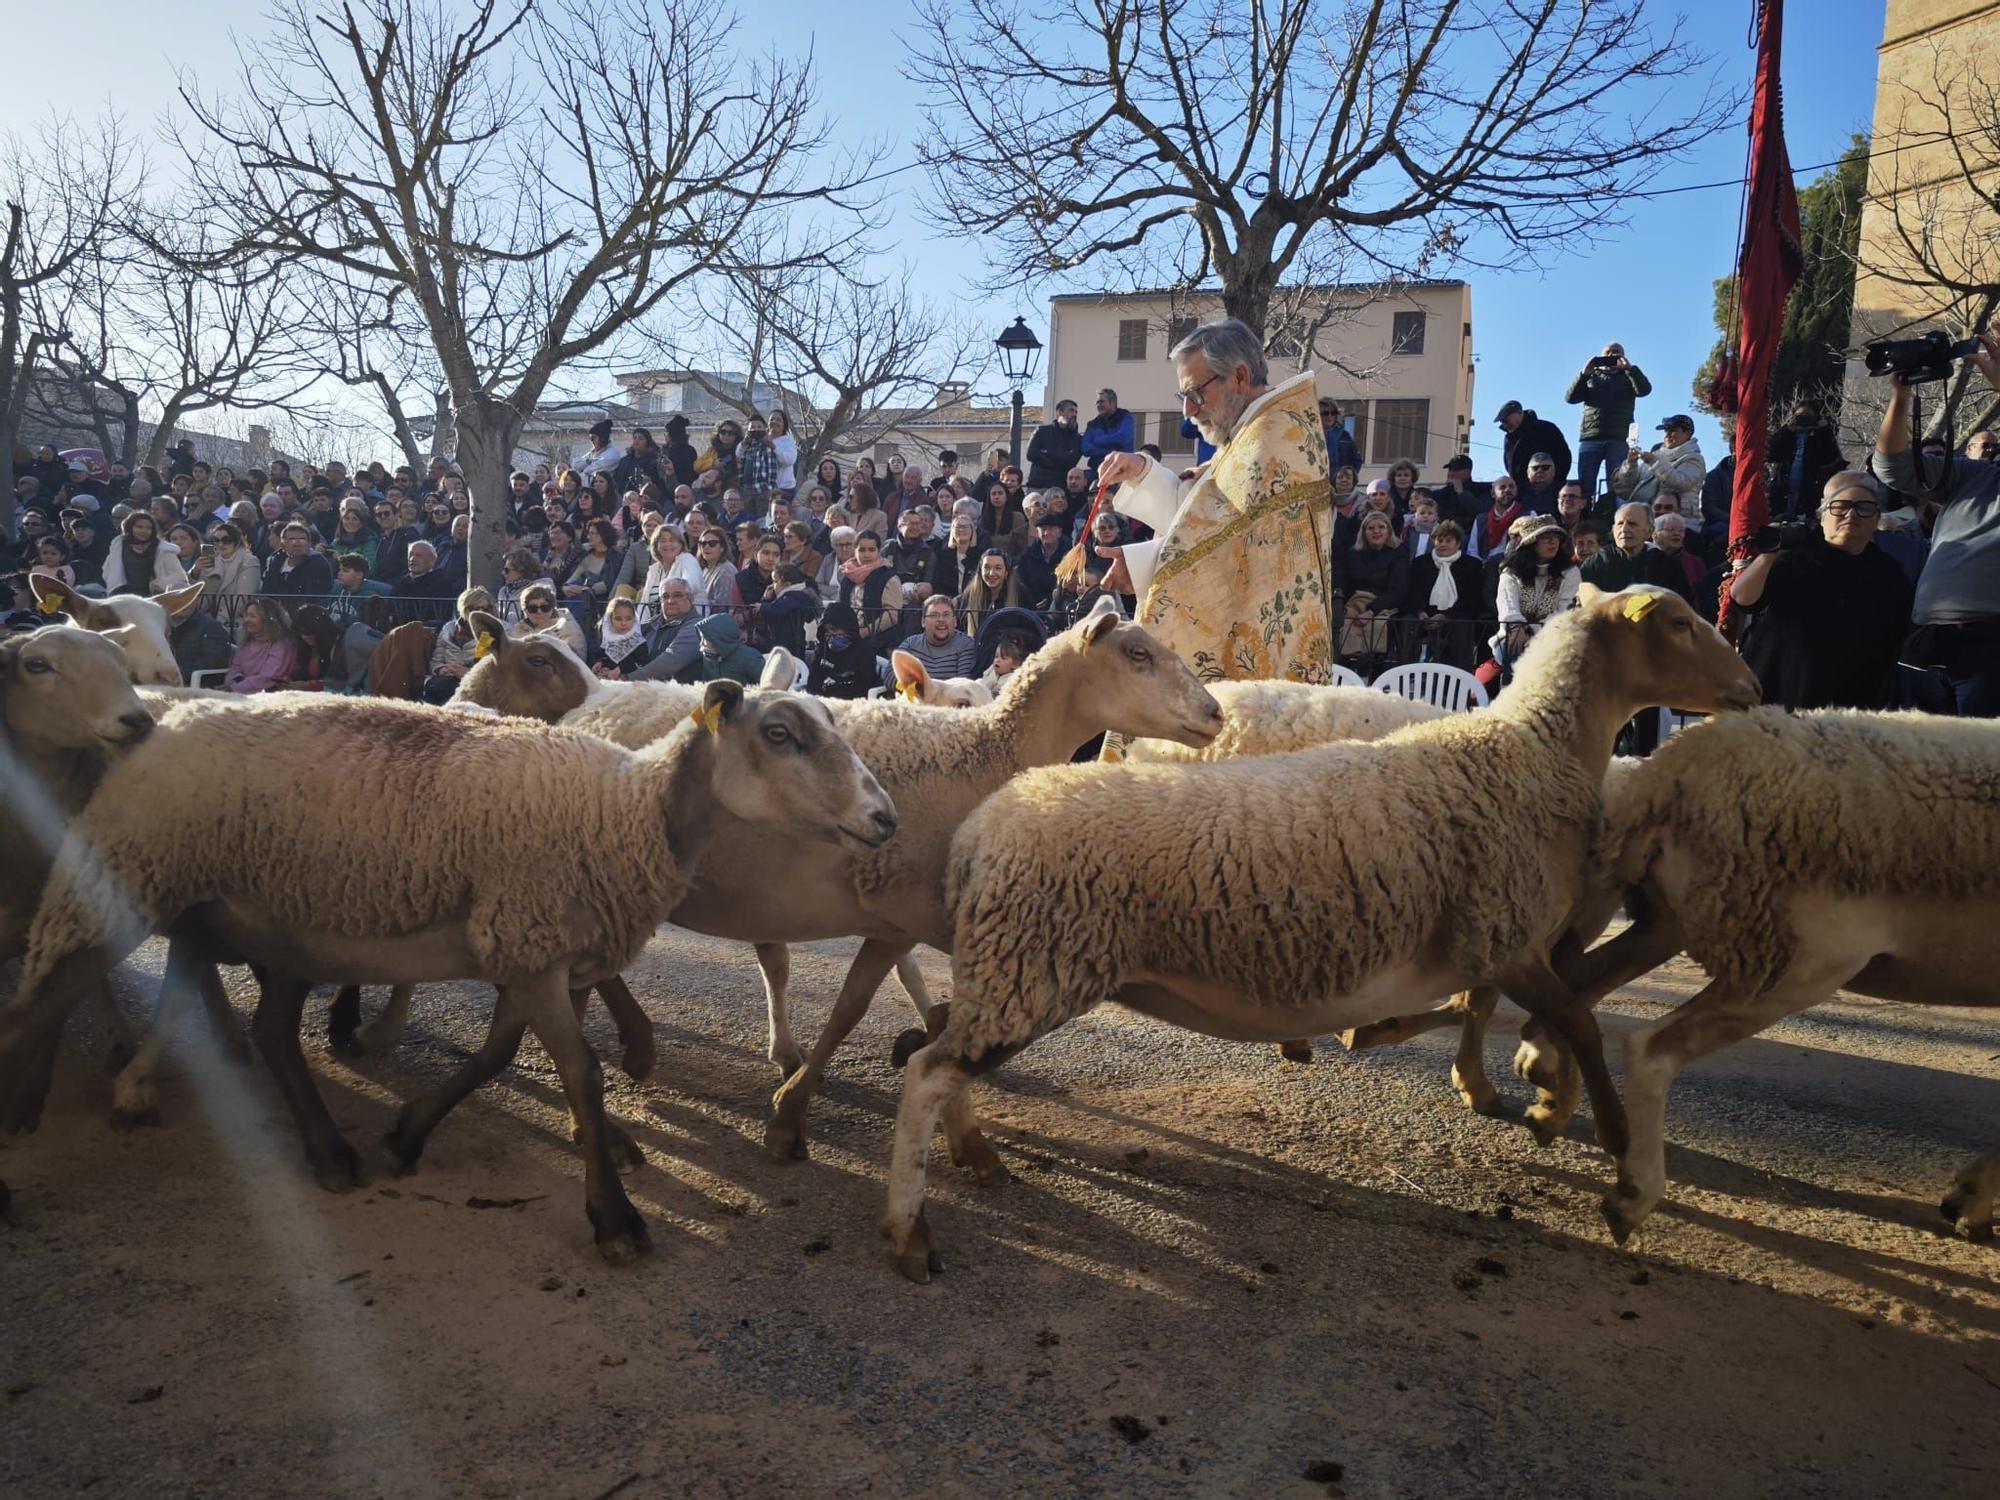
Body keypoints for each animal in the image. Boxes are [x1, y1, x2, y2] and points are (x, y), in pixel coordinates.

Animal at [0, 688, 892, 1264]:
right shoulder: (531, 942)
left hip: (278, 922)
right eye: (780, 732)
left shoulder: (536, 952)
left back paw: (330, 1154)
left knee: (272, 1030)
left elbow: (500, 1056)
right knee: (39, 1004)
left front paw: (407, 1134)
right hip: (127, 879)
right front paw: (615, 1219)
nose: (885, 818)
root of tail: (166, 721)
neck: (629, 810)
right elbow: (581, 1074)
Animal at [458, 600, 1224, 1160]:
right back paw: (633, 1052)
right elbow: (873, 1012)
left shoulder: (903, 920)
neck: (981, 756)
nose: (1216, 713)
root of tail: (595, 701)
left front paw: (809, 1096)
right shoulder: (906, 910)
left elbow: (866, 1005)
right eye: (1137, 655)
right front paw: (799, 1116)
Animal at [884, 584, 1760, 1280]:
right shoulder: (1504, 931)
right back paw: (910, 1231)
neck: (1529, 752)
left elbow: (1514, 1011)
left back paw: (960, 1161)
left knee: (938, 1053)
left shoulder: (1487, 936)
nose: (1752, 688)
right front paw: (1610, 1151)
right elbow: (1574, 1018)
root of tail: (983, 831)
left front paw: (1523, 1090)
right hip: (1033, 971)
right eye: (1680, 623)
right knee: (928, 1074)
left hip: (1016, 971)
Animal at [1536, 712, 2000, 1248]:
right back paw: (1633, 1193)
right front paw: (1975, 1198)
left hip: (1675, 922)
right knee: (1649, 1048)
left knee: (1573, 995)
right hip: (1796, 958)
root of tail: (1664, 773)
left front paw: (1971, 1197)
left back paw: (1545, 1093)